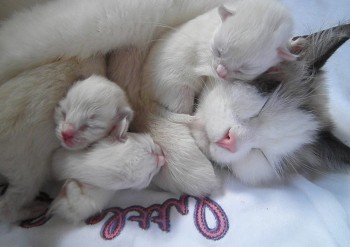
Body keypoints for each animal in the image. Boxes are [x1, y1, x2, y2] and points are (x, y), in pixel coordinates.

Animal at [142, 0, 296, 113]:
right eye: (218, 52)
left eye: (242, 70)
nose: (220, 73)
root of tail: (145, 89)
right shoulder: (205, 59)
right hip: (175, 89)